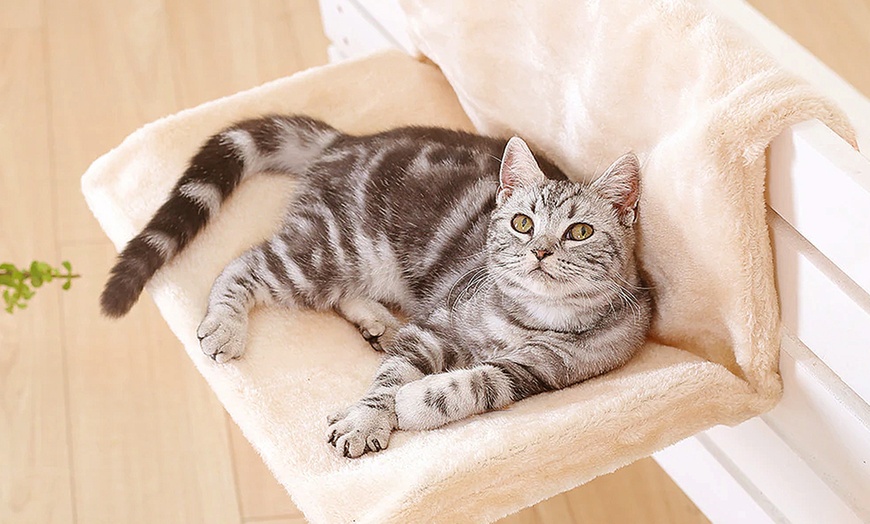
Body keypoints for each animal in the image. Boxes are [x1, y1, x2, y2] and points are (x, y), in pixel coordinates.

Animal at [99, 115, 652, 458]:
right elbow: (390, 379)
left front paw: (417, 401)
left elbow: (478, 384)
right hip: (332, 251)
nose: (540, 250)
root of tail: (347, 141)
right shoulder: (435, 326)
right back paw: (226, 323)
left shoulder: (538, 374)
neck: (532, 316)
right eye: (521, 223)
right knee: (245, 264)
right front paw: (370, 419)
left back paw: (377, 323)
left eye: (579, 232)